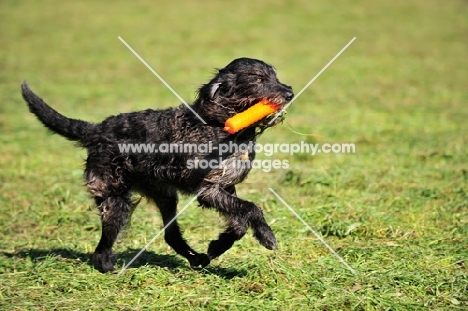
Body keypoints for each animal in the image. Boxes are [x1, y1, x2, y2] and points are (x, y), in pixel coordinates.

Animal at [22, 58, 292, 272]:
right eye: (258, 79)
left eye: (275, 76)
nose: (289, 93)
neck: (220, 123)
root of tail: (95, 131)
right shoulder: (207, 189)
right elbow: (251, 208)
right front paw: (267, 236)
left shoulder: (224, 187)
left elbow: (239, 223)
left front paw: (217, 246)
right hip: (116, 198)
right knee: (102, 248)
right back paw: (110, 268)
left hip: (164, 195)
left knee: (171, 235)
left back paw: (197, 259)